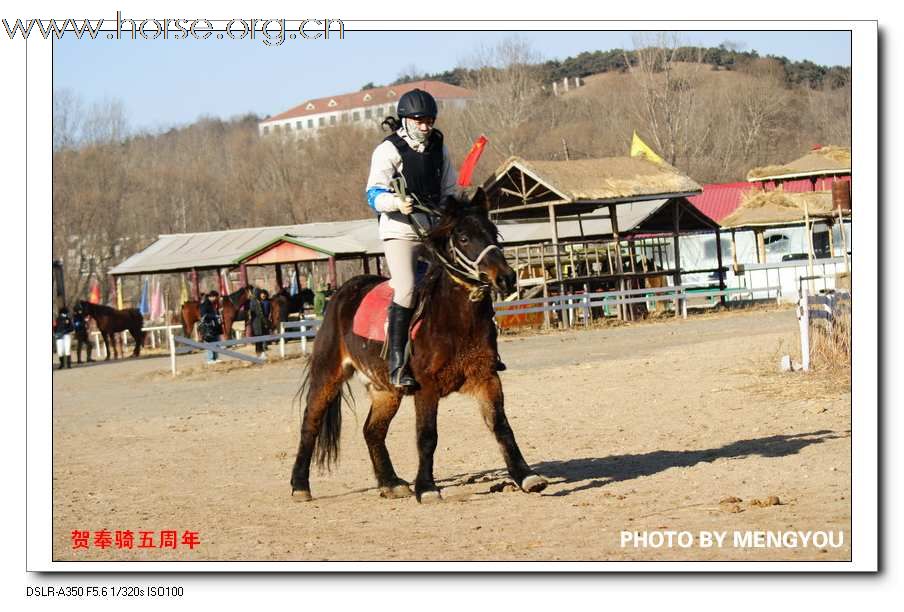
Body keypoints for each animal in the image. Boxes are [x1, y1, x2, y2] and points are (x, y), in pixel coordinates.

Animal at [290, 189, 548, 504]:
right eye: (463, 237)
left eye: (493, 232)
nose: (506, 277)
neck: (455, 318)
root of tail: (342, 292)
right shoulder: (427, 386)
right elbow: (427, 435)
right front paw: (426, 487)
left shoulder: (486, 377)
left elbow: (501, 426)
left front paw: (526, 476)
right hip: (328, 375)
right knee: (310, 424)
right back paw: (300, 485)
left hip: (386, 391)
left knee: (372, 431)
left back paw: (390, 483)